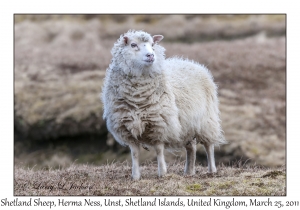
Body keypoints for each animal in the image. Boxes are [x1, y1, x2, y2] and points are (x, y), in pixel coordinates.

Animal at [101, 30, 225, 180]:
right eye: (133, 45)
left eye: (152, 45)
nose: (151, 55)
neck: (138, 97)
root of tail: (191, 63)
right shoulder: (127, 128)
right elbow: (135, 154)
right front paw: (135, 176)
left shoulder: (160, 124)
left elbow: (159, 150)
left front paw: (162, 173)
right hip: (187, 125)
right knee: (192, 147)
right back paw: (189, 171)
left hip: (207, 120)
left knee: (209, 146)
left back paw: (212, 170)